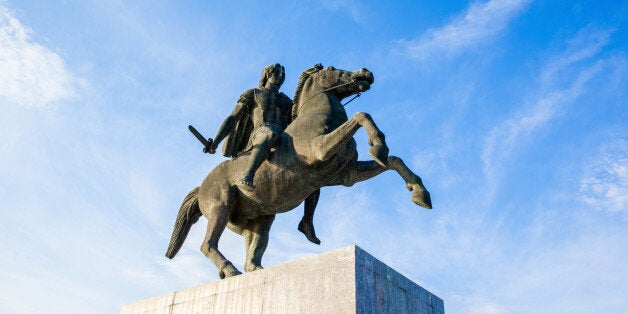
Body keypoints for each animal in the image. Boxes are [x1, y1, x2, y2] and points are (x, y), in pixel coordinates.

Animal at [167, 63, 432, 278]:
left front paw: (419, 192)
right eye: (333, 68)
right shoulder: (320, 149)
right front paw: (377, 144)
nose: (366, 72)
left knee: (252, 251)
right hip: (220, 207)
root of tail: (202, 186)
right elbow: (361, 115)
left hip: (259, 219)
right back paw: (229, 268)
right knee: (208, 244)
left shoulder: (345, 175)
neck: (318, 114)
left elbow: (393, 160)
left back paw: (257, 269)